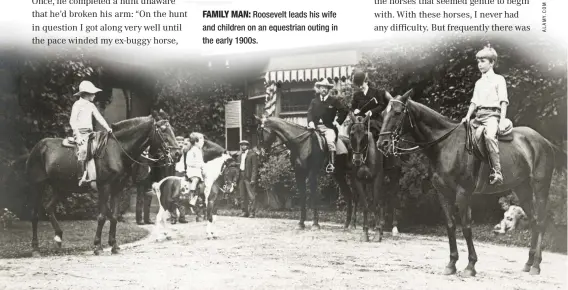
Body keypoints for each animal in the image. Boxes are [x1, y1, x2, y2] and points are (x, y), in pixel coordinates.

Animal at [25, 111, 181, 256]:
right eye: (163, 130)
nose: (178, 154)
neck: (117, 150)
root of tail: (39, 146)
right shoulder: (104, 188)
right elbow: (101, 216)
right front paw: (97, 246)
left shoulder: (118, 188)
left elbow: (114, 216)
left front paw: (114, 245)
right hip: (38, 186)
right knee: (34, 215)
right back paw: (35, 248)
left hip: (62, 188)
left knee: (48, 207)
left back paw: (58, 238)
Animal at [378, 89, 568, 278]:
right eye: (383, 113)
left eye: (397, 113)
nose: (382, 143)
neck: (446, 145)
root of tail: (544, 141)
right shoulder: (443, 194)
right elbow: (450, 226)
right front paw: (451, 264)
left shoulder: (463, 193)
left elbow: (466, 227)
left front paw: (470, 266)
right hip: (522, 189)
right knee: (534, 221)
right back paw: (529, 263)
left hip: (540, 187)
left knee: (541, 222)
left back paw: (536, 265)